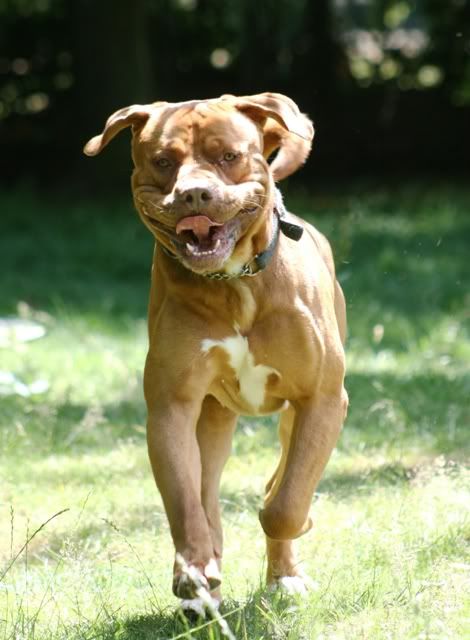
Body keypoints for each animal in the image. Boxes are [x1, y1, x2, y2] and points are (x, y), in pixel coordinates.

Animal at [85, 91, 348, 608]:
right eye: (163, 161)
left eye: (228, 156)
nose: (193, 195)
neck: (234, 282)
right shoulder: (172, 408)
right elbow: (187, 503)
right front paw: (194, 570)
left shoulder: (323, 399)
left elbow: (286, 503)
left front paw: (289, 528)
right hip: (212, 420)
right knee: (205, 491)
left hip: (294, 415)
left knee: (282, 479)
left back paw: (283, 574)